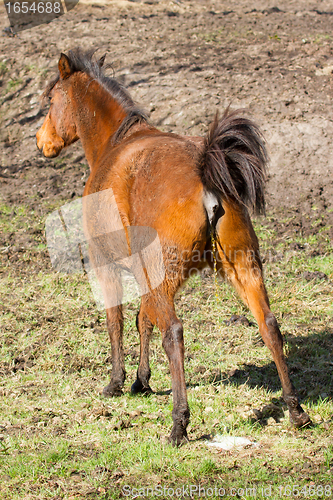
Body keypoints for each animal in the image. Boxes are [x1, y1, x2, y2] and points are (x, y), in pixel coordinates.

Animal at [37, 47, 310, 446]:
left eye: (51, 100)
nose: (41, 141)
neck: (116, 144)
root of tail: (206, 173)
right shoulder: (144, 275)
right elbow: (142, 320)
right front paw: (141, 380)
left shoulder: (107, 265)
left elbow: (117, 321)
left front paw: (118, 382)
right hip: (243, 267)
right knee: (269, 326)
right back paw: (295, 410)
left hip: (168, 276)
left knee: (175, 334)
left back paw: (179, 423)